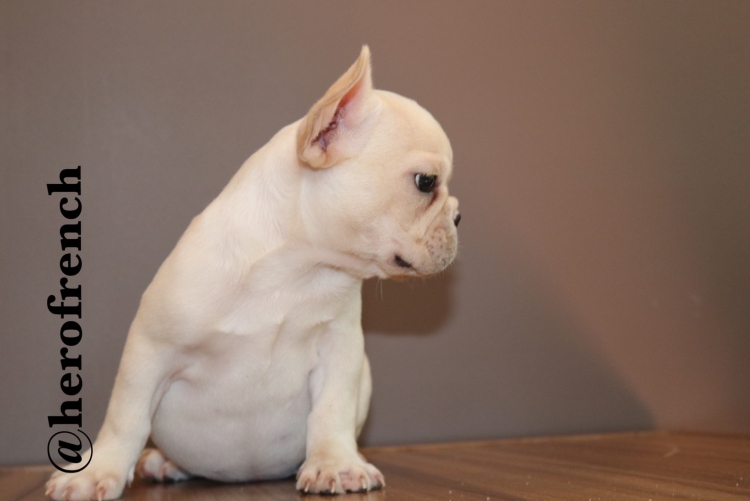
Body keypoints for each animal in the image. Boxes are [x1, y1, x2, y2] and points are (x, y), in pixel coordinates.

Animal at [46, 46, 460, 500]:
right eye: (426, 182)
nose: (459, 215)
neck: (297, 268)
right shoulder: (149, 348)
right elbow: (126, 418)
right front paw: (96, 470)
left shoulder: (341, 350)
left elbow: (331, 411)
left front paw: (335, 463)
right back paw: (161, 461)